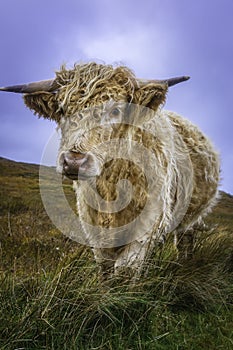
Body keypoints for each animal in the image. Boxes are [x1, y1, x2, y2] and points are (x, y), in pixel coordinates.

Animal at [0, 63, 219, 278]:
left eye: (115, 111)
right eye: (62, 109)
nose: (73, 161)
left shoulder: (149, 222)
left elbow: (125, 269)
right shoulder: (93, 226)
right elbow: (105, 267)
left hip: (191, 217)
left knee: (184, 239)